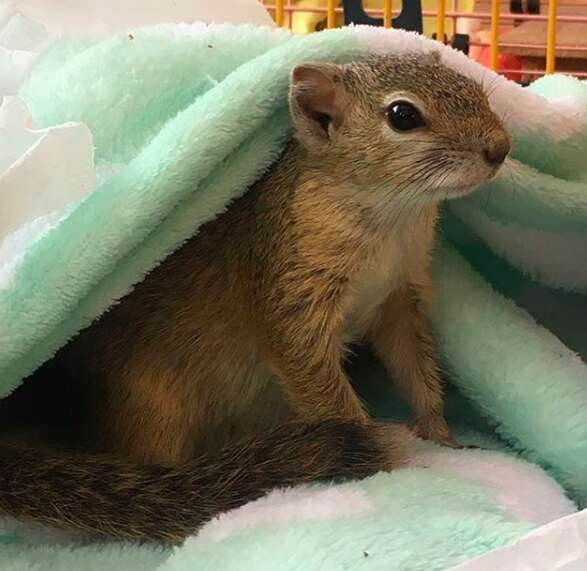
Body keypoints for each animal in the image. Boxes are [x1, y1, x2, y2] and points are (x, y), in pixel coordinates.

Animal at [0, 52, 510, 544]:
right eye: (403, 115)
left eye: (473, 86)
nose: (501, 148)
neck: (388, 221)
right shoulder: (288, 294)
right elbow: (319, 384)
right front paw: (376, 459)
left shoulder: (399, 301)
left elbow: (416, 369)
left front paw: (441, 435)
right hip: (149, 408)